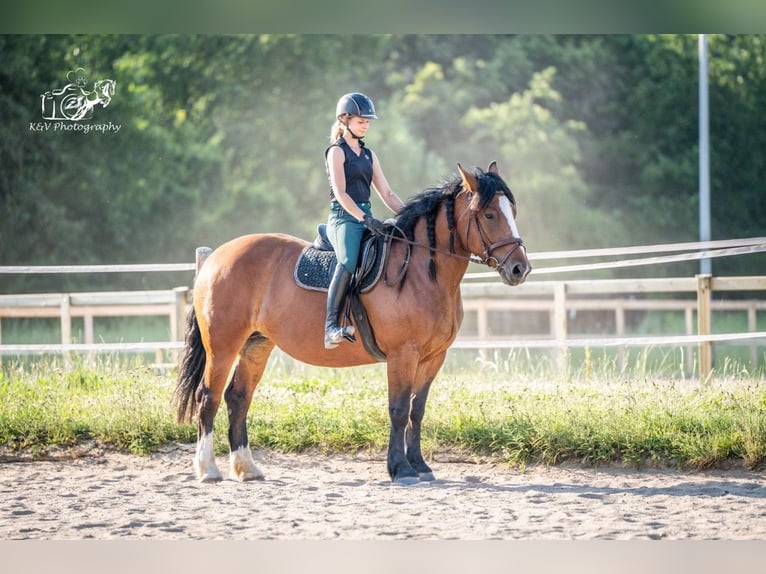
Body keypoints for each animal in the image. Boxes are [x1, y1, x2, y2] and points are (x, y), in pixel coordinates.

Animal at [174, 161, 536, 486]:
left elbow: (417, 410)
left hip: (256, 345)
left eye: (513, 211)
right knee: (208, 397)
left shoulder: (433, 357)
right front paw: (400, 469)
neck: (420, 271)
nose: (520, 269)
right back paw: (208, 469)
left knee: (238, 398)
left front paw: (420, 465)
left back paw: (246, 468)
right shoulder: (403, 355)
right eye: (489, 215)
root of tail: (216, 258)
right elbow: (398, 409)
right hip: (223, 346)